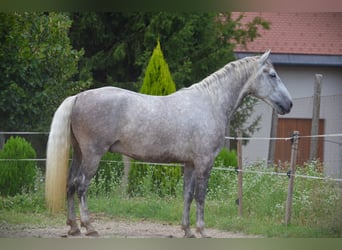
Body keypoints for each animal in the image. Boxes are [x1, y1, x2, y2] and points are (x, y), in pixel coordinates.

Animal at [44, 49, 292, 237]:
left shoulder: (190, 164)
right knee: (81, 186)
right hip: (93, 155)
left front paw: (187, 230)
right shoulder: (204, 162)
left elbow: (188, 195)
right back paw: (89, 227)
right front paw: (202, 231)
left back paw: (74, 227)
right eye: (272, 75)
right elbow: (201, 196)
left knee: (70, 184)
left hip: (79, 153)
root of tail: (78, 97)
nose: (288, 104)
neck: (211, 102)